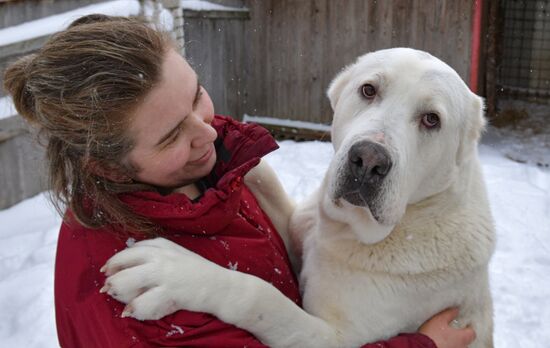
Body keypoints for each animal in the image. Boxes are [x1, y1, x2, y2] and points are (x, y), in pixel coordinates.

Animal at [103, 48, 496, 348]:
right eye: (369, 90)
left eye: (431, 120)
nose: (368, 160)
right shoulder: (298, 230)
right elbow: (270, 187)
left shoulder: (335, 338)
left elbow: (261, 297)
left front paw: (172, 274)